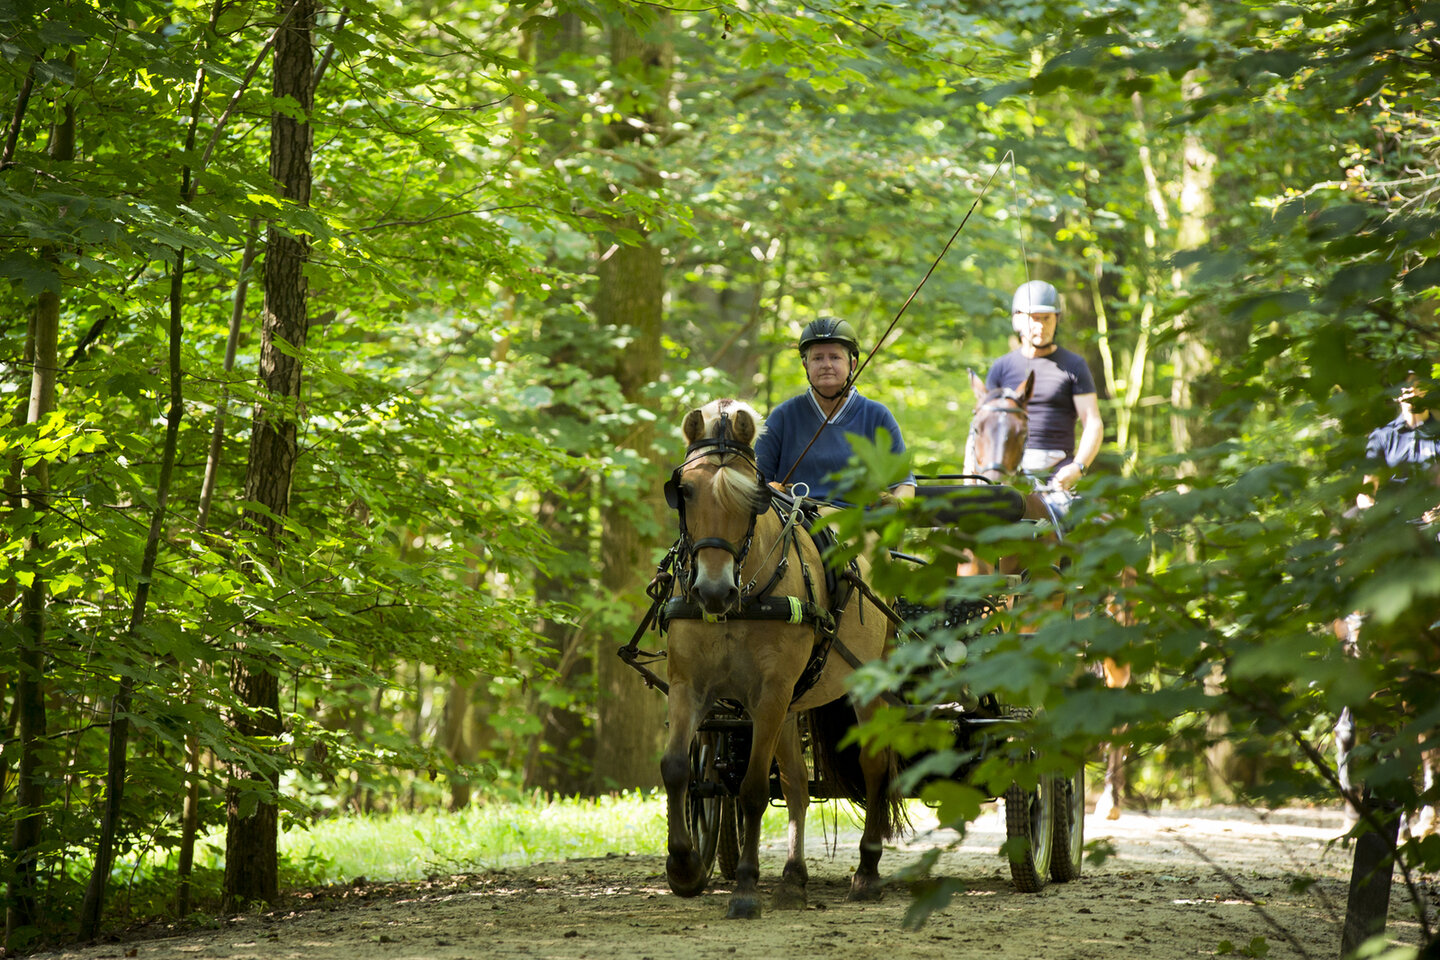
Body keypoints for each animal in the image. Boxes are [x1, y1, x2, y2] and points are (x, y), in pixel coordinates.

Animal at [659, 397, 904, 915]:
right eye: (683, 491)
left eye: (753, 497)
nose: (713, 591)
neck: (741, 601)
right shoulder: (689, 684)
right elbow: (676, 769)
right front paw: (684, 867)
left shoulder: (769, 693)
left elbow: (752, 788)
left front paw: (747, 887)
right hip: (793, 703)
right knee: (795, 784)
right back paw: (793, 878)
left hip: (864, 687)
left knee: (874, 767)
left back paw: (867, 871)